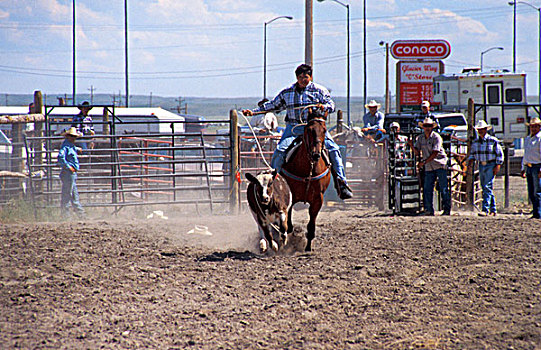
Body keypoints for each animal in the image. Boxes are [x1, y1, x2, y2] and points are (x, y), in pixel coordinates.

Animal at [280, 109, 332, 252]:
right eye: (309, 129)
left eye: (324, 130)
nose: (315, 154)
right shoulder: (290, 196)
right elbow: (288, 220)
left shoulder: (318, 199)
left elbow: (311, 224)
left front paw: (308, 247)